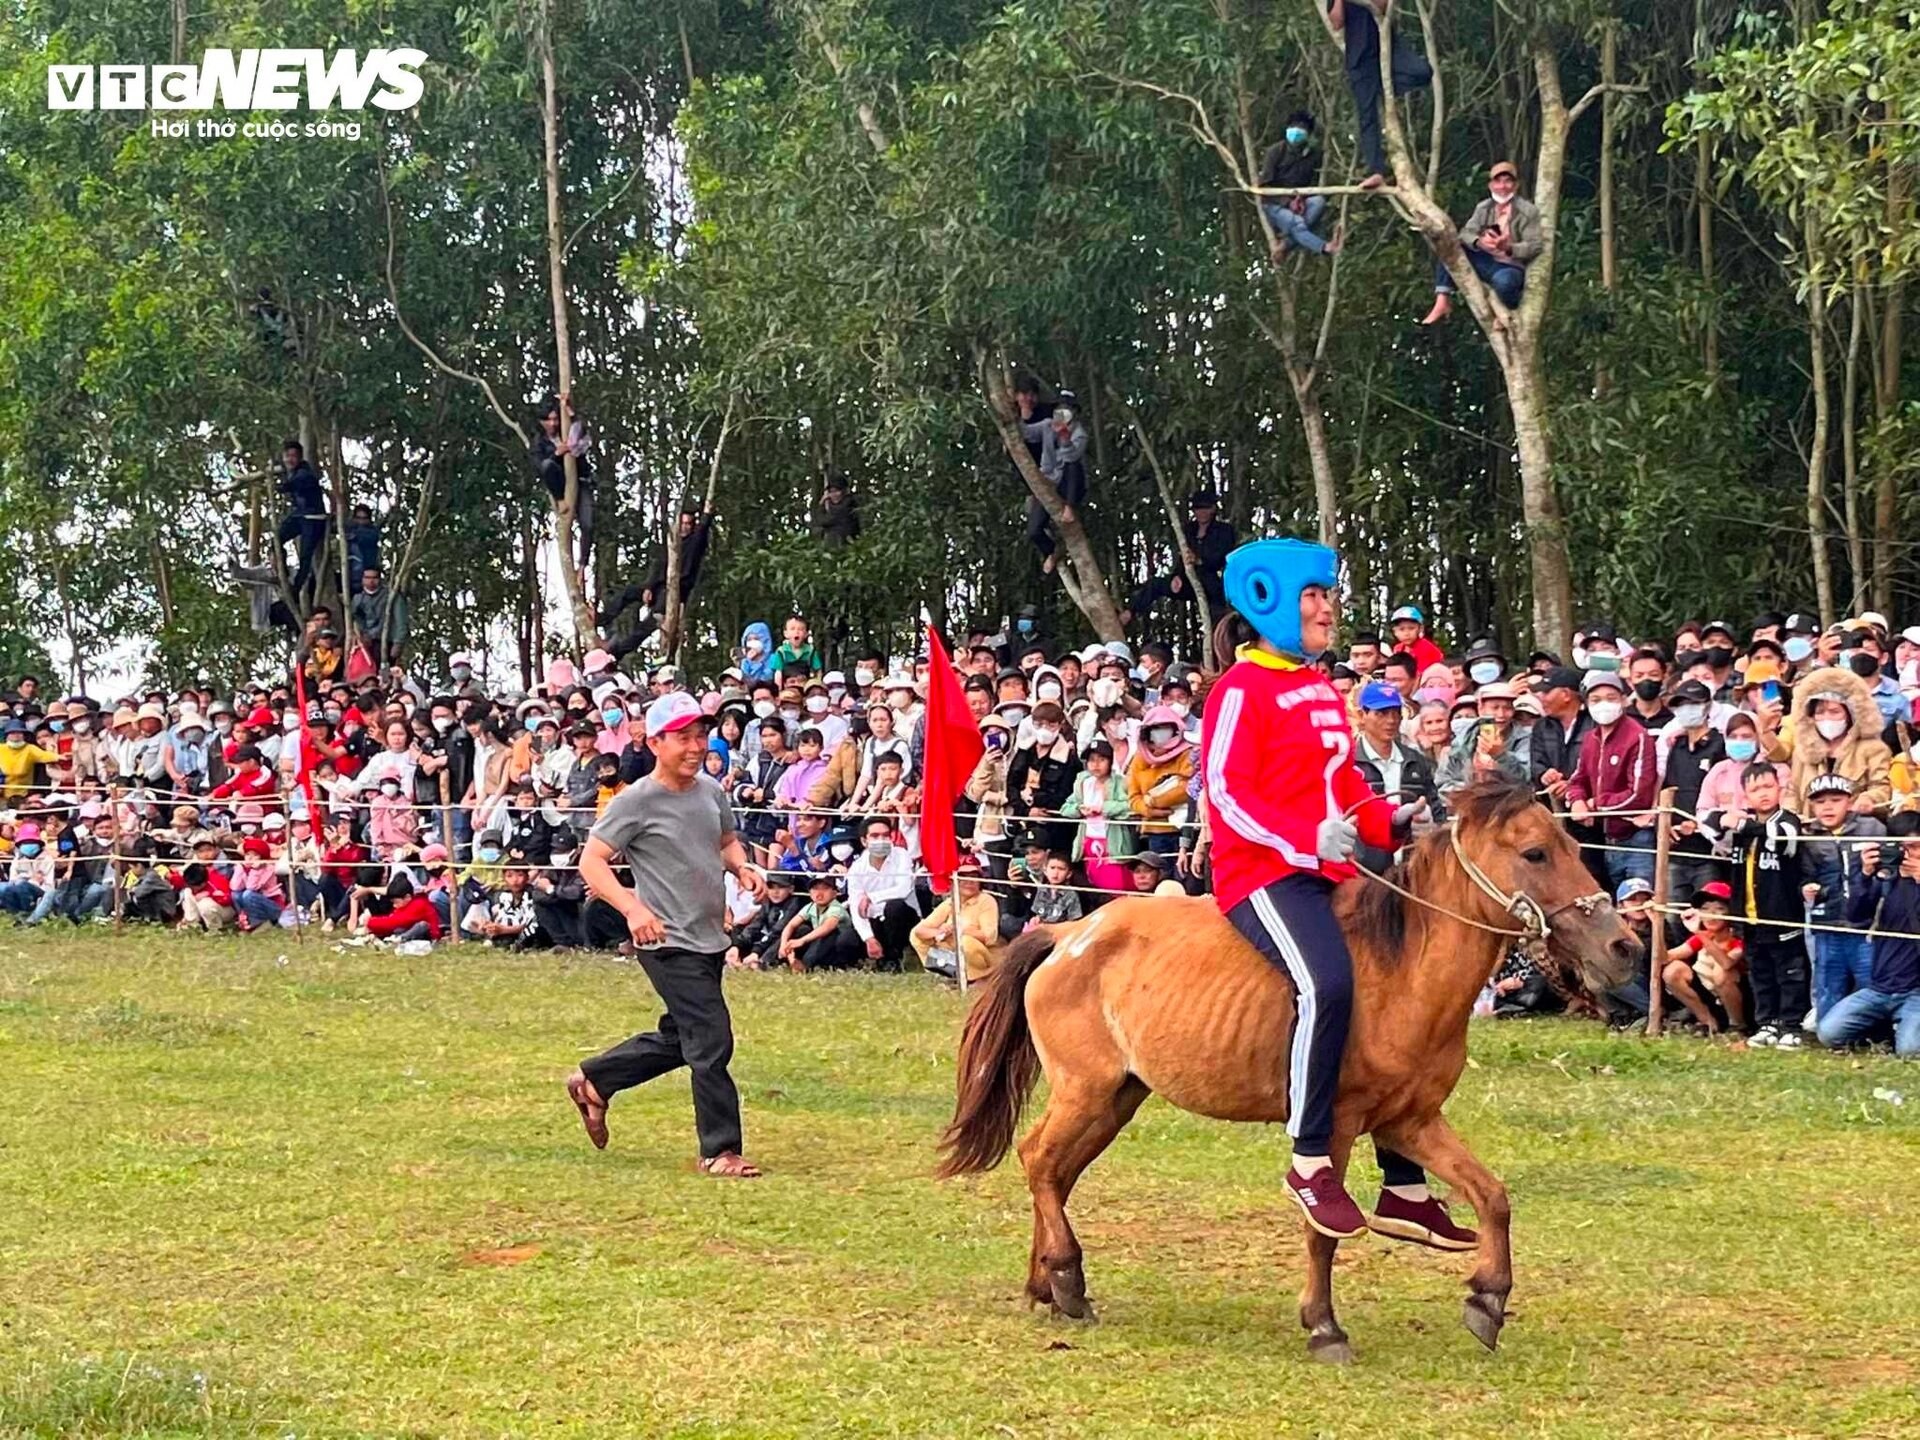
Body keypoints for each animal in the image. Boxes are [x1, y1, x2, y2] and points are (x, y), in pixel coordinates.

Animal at [936, 779, 1643, 1367]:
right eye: (1535, 854)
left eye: (1574, 846)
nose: (1625, 948)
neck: (1400, 972)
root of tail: (1068, 934)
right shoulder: (1333, 1127)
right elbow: (1322, 1230)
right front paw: (1324, 1325)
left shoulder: (1411, 1121)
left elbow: (1493, 1196)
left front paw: (1487, 1298)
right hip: (1087, 1092)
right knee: (1039, 1160)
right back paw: (1066, 1277)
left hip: (1117, 1099)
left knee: (1055, 1171)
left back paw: (1047, 1285)